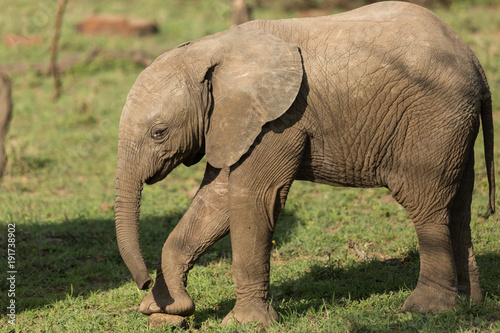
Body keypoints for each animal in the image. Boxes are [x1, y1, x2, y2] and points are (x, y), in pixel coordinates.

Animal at [115, 1, 494, 326]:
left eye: (159, 133)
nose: (144, 283)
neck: (215, 49)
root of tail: (475, 63)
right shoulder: (235, 124)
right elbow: (215, 201)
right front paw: (166, 314)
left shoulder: (277, 121)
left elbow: (253, 199)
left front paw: (244, 324)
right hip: (454, 126)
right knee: (458, 207)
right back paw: (469, 303)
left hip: (432, 120)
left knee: (425, 203)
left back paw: (425, 310)